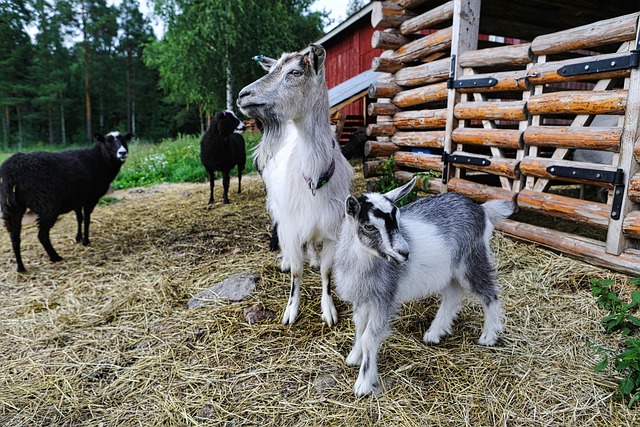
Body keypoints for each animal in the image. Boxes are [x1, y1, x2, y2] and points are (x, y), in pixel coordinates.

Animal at [0, 132, 131, 272]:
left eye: (124, 140)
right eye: (107, 141)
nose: (122, 153)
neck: (98, 159)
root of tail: (12, 171)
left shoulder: (77, 199)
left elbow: (79, 218)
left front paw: (78, 238)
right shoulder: (90, 198)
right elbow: (87, 219)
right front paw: (86, 241)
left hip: (11, 207)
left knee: (14, 238)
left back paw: (20, 267)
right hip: (47, 206)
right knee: (42, 235)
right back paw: (55, 257)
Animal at [237, 44, 353, 326]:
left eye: (296, 72)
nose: (242, 95)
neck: (314, 177)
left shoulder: (332, 227)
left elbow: (326, 272)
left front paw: (328, 310)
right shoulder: (291, 224)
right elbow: (297, 274)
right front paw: (291, 311)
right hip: (278, 207)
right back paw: (286, 260)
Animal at [333, 177, 514, 396]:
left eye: (398, 218)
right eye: (369, 226)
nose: (404, 253)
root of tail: (481, 209)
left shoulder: (384, 298)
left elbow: (369, 336)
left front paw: (363, 383)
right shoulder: (362, 297)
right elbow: (360, 326)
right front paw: (354, 357)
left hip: (471, 260)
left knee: (489, 293)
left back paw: (488, 336)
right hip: (451, 271)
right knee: (453, 296)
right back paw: (434, 333)